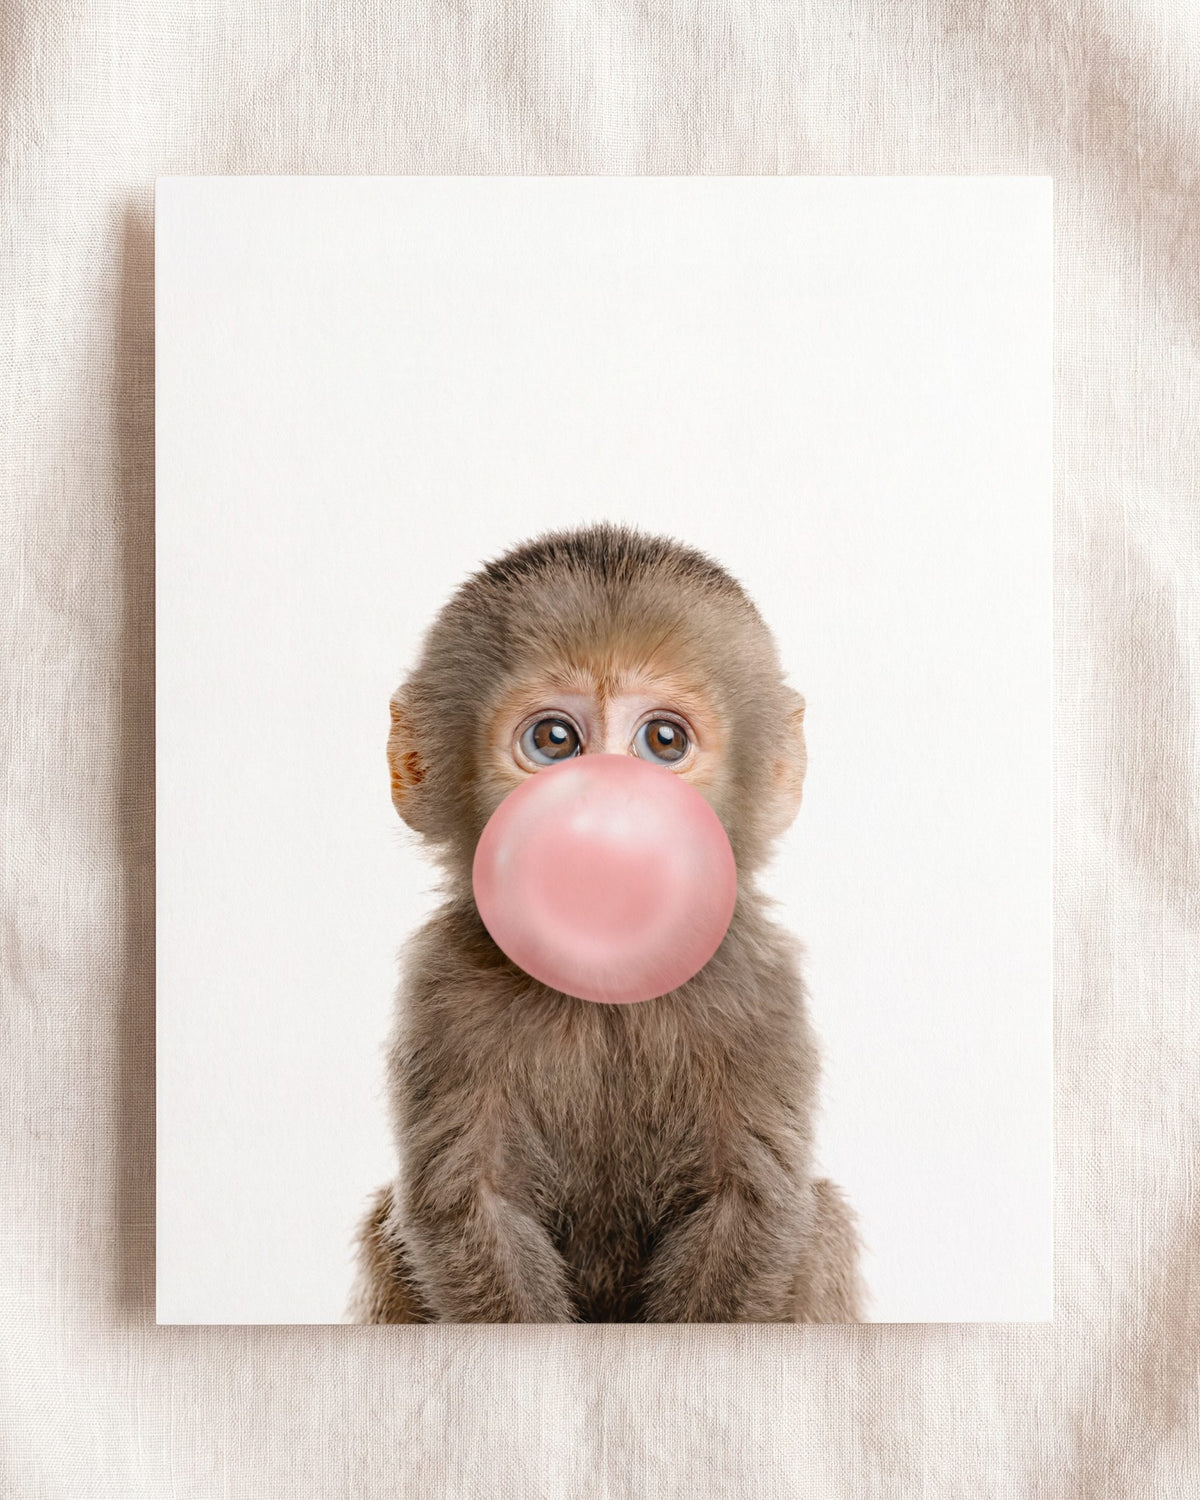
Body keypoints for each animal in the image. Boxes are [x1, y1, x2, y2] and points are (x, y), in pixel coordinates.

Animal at [349, 524, 864, 1323]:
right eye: (555, 741)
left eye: (664, 742)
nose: (608, 808)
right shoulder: (445, 983)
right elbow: (469, 1205)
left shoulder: (759, 983)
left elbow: (749, 1204)